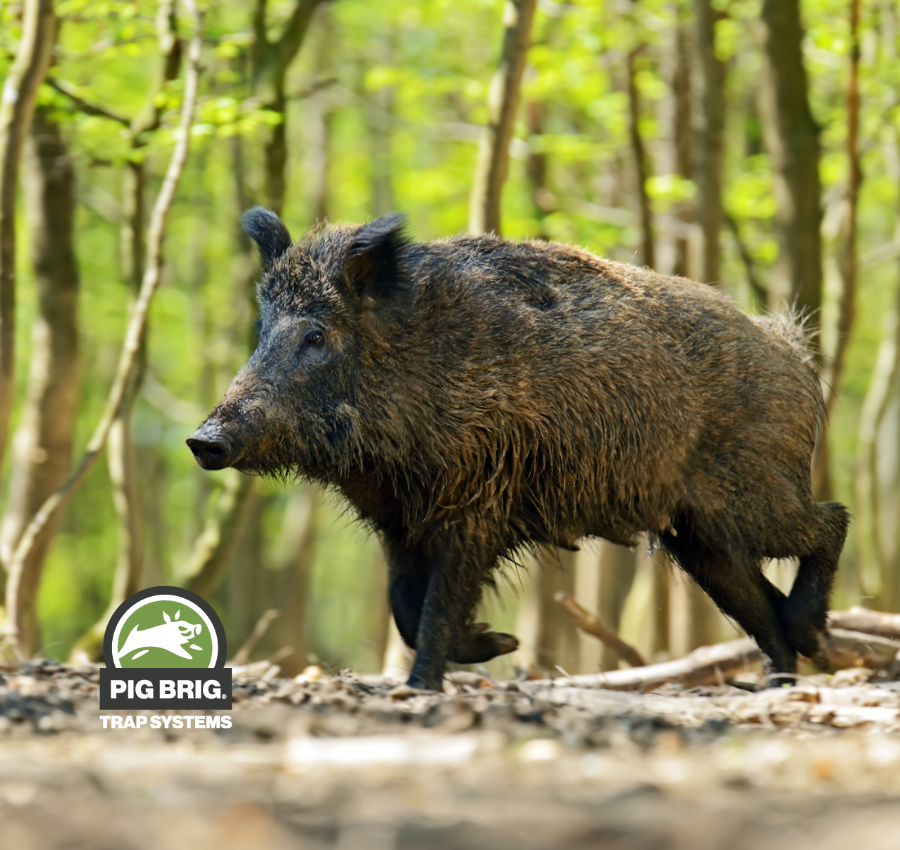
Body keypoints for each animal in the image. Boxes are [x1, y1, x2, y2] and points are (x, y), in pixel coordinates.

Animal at [187, 208, 849, 690]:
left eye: (316, 335)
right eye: (261, 331)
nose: (202, 440)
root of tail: (793, 348)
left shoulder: (477, 505)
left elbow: (436, 606)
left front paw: (426, 687)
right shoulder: (400, 523)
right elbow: (404, 606)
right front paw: (495, 645)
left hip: (753, 494)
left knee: (830, 521)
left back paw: (809, 640)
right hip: (698, 534)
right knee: (757, 600)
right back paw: (779, 678)